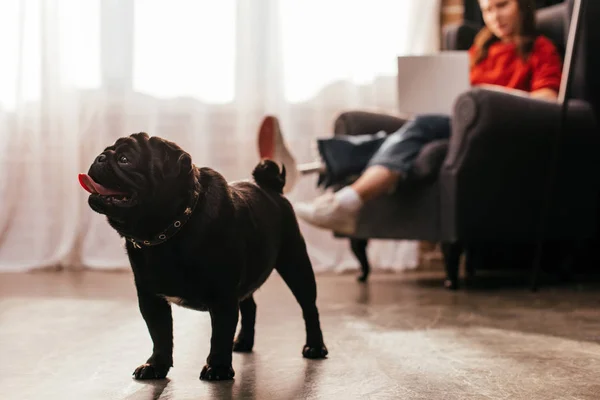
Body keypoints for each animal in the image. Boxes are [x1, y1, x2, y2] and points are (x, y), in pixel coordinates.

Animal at [79, 132, 328, 382]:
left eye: (124, 160)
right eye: (105, 151)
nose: (100, 157)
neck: (169, 231)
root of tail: (271, 188)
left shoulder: (222, 296)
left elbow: (219, 334)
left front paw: (217, 368)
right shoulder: (150, 297)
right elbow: (159, 333)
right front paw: (156, 365)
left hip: (295, 264)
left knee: (309, 308)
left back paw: (315, 347)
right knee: (250, 306)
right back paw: (243, 342)